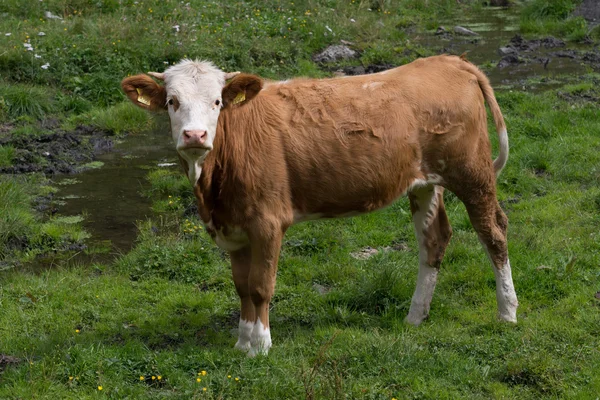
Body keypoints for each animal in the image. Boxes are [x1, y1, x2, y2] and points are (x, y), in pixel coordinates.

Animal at [120, 54, 516, 356]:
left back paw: (507, 313)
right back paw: (415, 316)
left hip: (473, 173)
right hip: (424, 183)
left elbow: (261, 285)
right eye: (172, 102)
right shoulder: (234, 227)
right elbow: (242, 286)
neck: (213, 191)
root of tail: (449, 60)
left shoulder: (267, 221)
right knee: (433, 240)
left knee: (494, 233)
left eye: (217, 102)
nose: (195, 135)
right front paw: (243, 342)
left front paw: (260, 346)